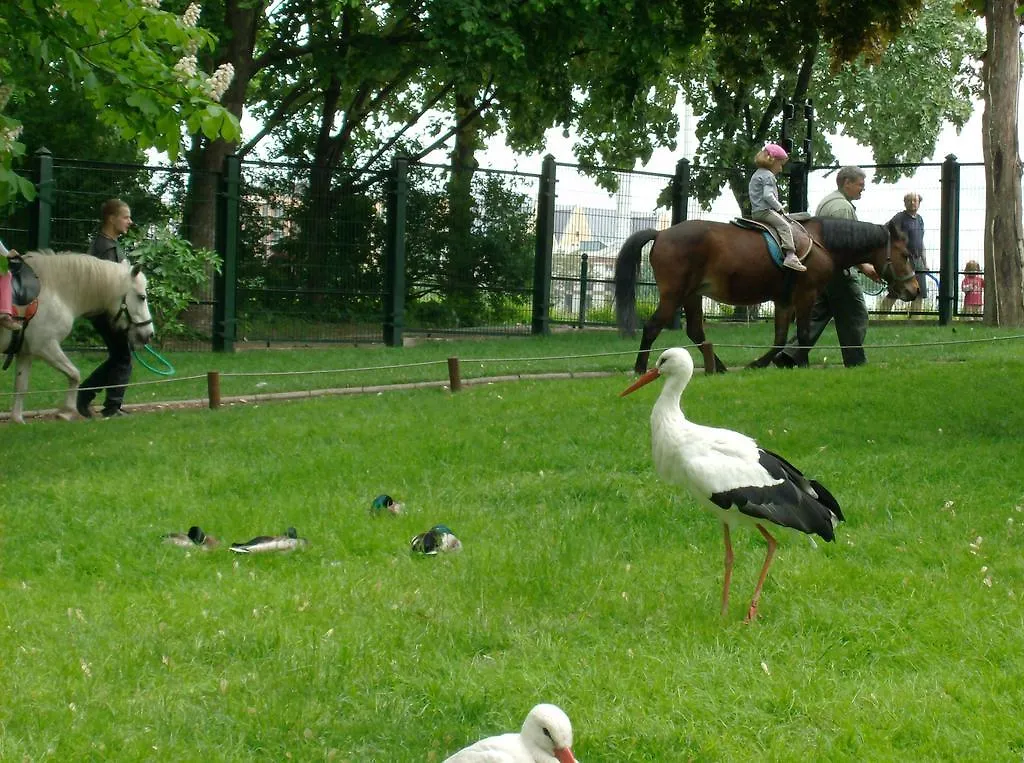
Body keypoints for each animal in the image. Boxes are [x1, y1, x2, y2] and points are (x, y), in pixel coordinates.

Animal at [1, 252, 153, 426]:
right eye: (142, 297)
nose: (149, 333)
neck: (54, 291)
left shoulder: (25, 352)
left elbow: (21, 386)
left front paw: (17, 420)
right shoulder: (45, 346)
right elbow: (74, 374)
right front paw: (67, 412)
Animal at [614, 216, 921, 372]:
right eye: (906, 254)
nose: (915, 289)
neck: (821, 242)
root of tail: (661, 234)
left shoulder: (784, 301)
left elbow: (780, 339)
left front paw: (761, 363)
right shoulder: (805, 294)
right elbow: (804, 334)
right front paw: (801, 364)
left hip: (692, 295)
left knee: (695, 332)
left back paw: (718, 366)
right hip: (674, 294)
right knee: (652, 327)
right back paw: (640, 367)